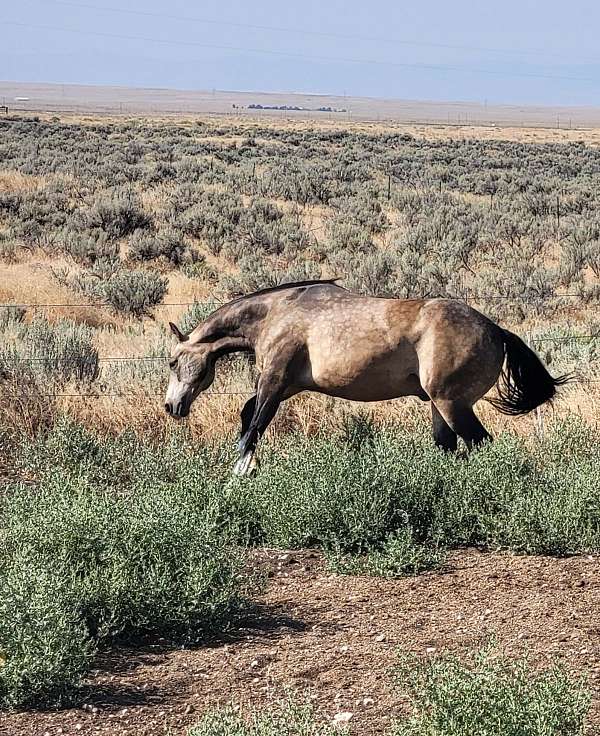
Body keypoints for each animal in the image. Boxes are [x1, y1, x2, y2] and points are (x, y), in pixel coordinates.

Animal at [165, 280, 569, 475]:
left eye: (171, 362)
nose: (172, 407)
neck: (276, 314)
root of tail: (497, 331)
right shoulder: (287, 387)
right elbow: (248, 416)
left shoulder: (274, 382)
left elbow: (254, 425)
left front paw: (238, 474)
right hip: (441, 406)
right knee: (449, 447)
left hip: (452, 403)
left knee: (480, 443)